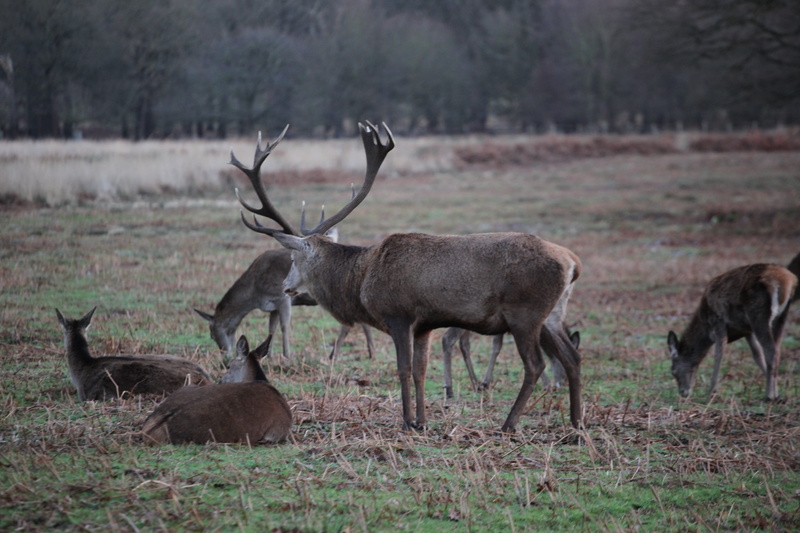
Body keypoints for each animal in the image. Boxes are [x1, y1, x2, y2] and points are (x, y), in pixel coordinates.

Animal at [442, 326, 579, 399]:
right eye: (564, 364)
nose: (563, 383)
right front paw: (547, 385)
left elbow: (496, 346)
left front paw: (485, 383)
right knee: (447, 339)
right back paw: (449, 390)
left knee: (464, 343)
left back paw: (475, 383)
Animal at [667, 263, 797, 401]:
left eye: (673, 371)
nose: (683, 392)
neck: (705, 327)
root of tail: (786, 281)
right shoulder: (746, 330)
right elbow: (757, 355)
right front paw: (778, 393)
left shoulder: (718, 322)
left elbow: (718, 355)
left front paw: (712, 391)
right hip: (781, 316)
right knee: (776, 350)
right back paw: (775, 394)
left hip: (758, 313)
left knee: (771, 350)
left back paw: (769, 395)